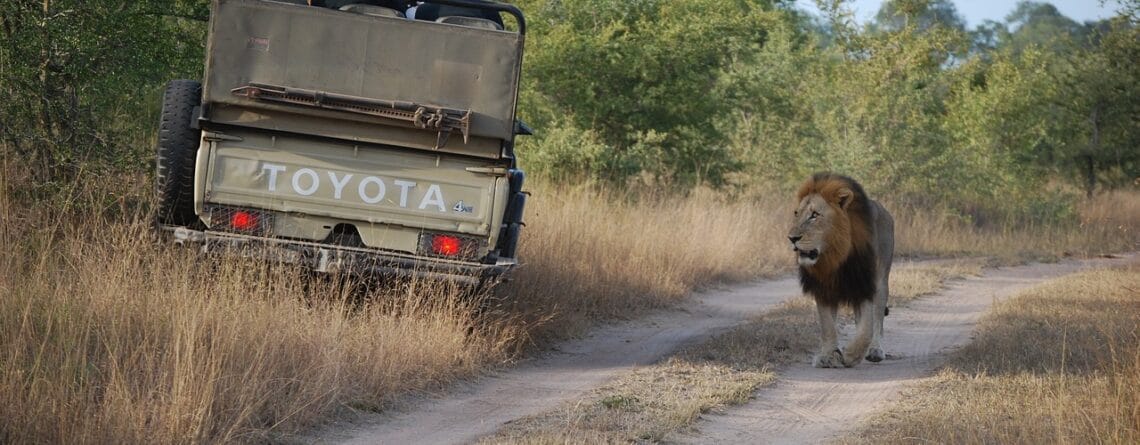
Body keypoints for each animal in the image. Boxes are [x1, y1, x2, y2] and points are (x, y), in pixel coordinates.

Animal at [787, 173, 894, 368]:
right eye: (796, 213)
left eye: (815, 215)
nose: (791, 238)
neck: (835, 256)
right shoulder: (823, 287)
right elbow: (827, 326)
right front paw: (827, 355)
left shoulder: (864, 282)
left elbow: (868, 326)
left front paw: (852, 354)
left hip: (881, 281)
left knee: (877, 318)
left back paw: (875, 350)